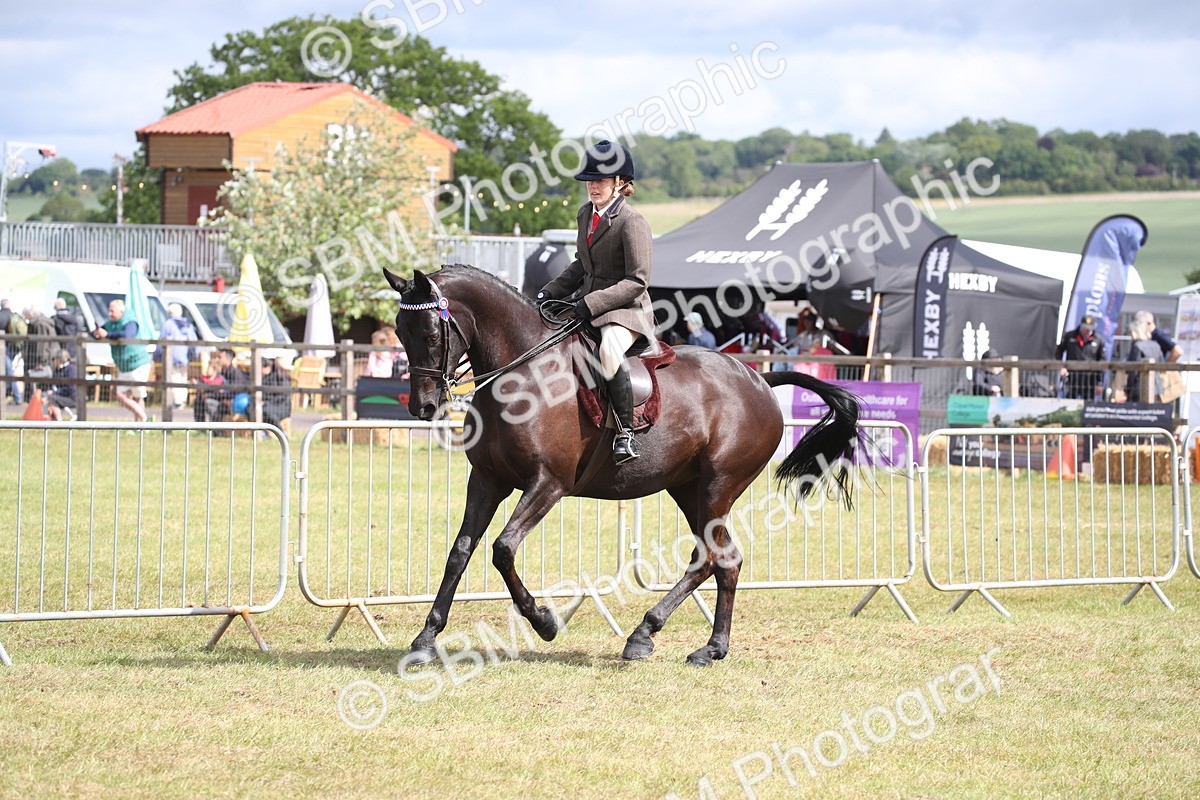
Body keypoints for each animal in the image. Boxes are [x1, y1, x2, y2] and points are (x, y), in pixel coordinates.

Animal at [383, 265, 860, 665]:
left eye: (430, 334)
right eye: (400, 331)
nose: (423, 408)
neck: (524, 374)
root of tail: (757, 377)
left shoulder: (548, 484)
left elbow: (503, 549)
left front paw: (544, 621)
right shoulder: (486, 480)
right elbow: (459, 553)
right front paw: (425, 639)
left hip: (719, 485)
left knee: (708, 556)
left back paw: (645, 634)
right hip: (687, 487)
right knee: (724, 559)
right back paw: (710, 647)